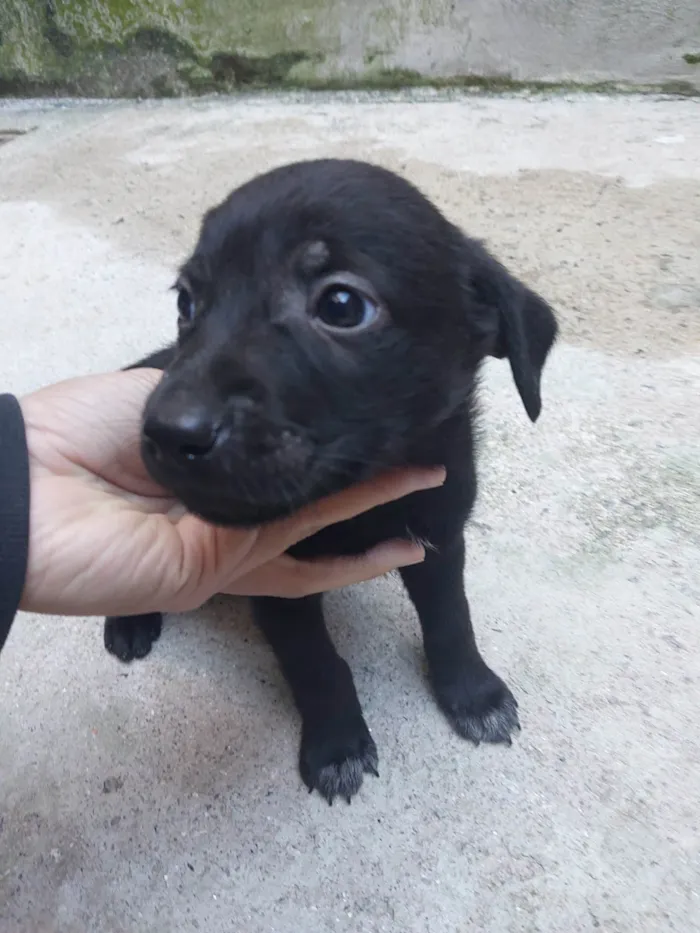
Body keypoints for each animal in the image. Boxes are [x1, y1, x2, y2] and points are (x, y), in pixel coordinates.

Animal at [104, 158, 560, 800]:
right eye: (188, 302)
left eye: (342, 305)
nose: (170, 431)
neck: (361, 501)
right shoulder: (275, 583)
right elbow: (315, 662)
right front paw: (338, 744)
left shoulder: (440, 534)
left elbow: (451, 617)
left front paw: (474, 693)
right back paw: (130, 619)